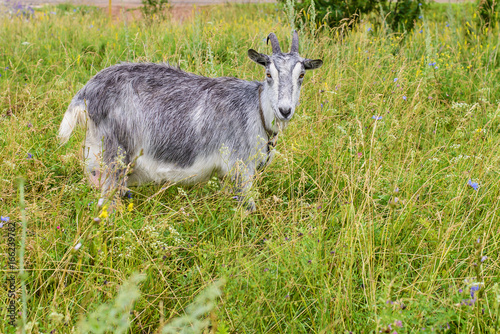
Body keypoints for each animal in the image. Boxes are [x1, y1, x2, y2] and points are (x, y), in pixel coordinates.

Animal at [59, 30, 324, 209]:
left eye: (301, 75)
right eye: (269, 73)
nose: (285, 110)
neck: (255, 109)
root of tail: (87, 91)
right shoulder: (241, 167)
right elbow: (248, 208)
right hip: (116, 155)